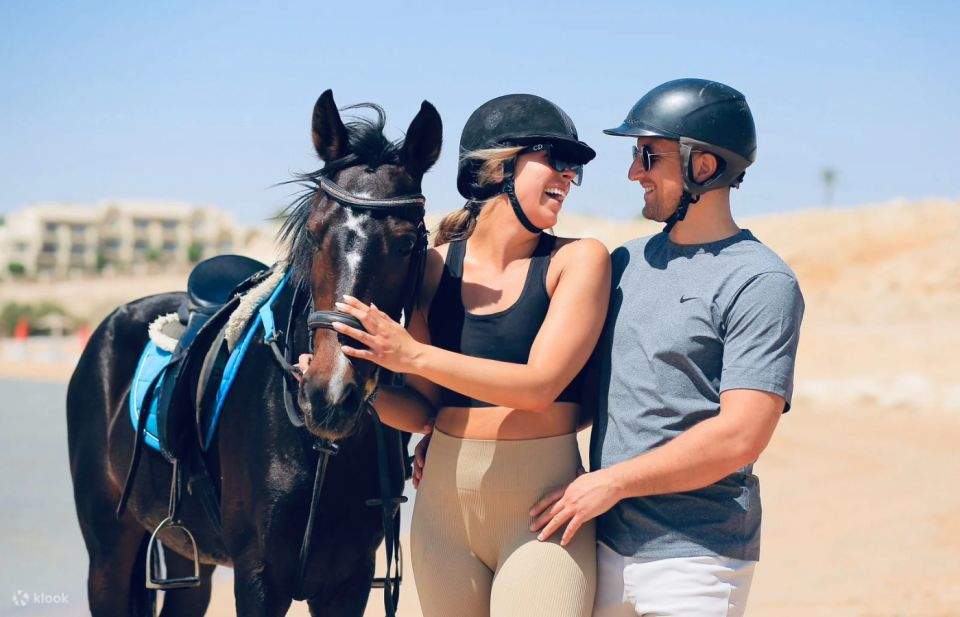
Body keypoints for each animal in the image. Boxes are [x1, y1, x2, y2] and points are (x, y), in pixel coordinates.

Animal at [66, 89, 442, 616]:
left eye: (407, 244)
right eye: (315, 231)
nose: (330, 395)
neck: (317, 447)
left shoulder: (347, 583)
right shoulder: (259, 579)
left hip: (187, 558)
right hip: (107, 554)